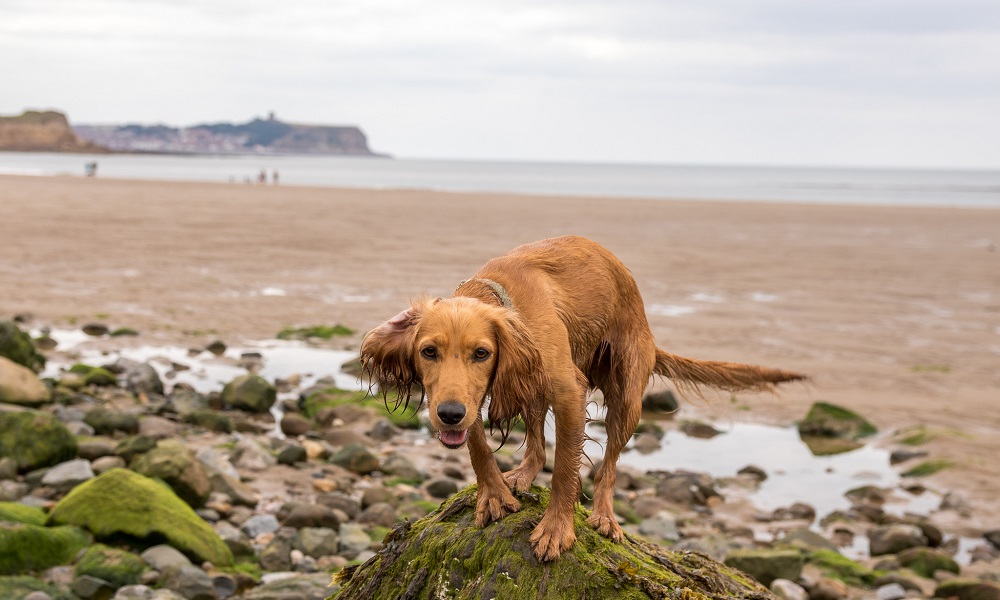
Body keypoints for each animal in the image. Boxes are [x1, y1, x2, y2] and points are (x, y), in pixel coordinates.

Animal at [360, 236, 804, 564]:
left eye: (482, 353)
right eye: (428, 351)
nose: (449, 414)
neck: (500, 296)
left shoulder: (568, 392)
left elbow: (565, 471)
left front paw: (557, 529)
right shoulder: (474, 397)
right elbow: (479, 446)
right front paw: (494, 494)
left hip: (626, 393)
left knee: (608, 467)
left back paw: (604, 516)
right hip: (530, 388)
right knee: (537, 446)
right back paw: (521, 474)